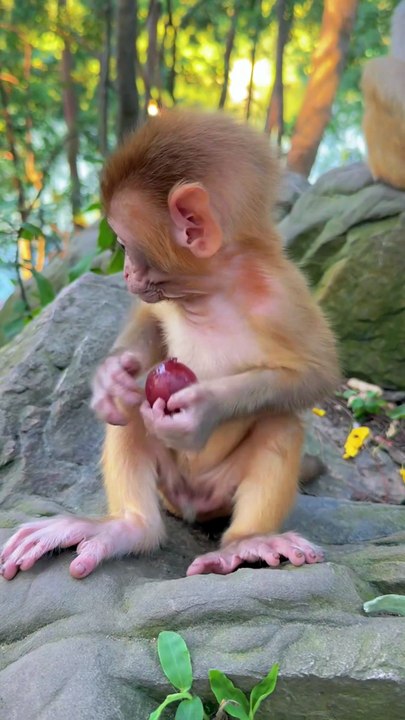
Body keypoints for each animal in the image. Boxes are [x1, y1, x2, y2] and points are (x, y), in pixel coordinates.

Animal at [0, 110, 339, 581]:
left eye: (125, 245)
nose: (125, 273)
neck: (212, 287)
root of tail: (191, 504)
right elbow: (149, 322)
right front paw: (111, 374)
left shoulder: (282, 297)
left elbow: (317, 373)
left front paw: (205, 409)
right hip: (169, 488)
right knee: (129, 413)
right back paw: (128, 527)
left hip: (219, 491)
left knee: (281, 421)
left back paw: (246, 541)